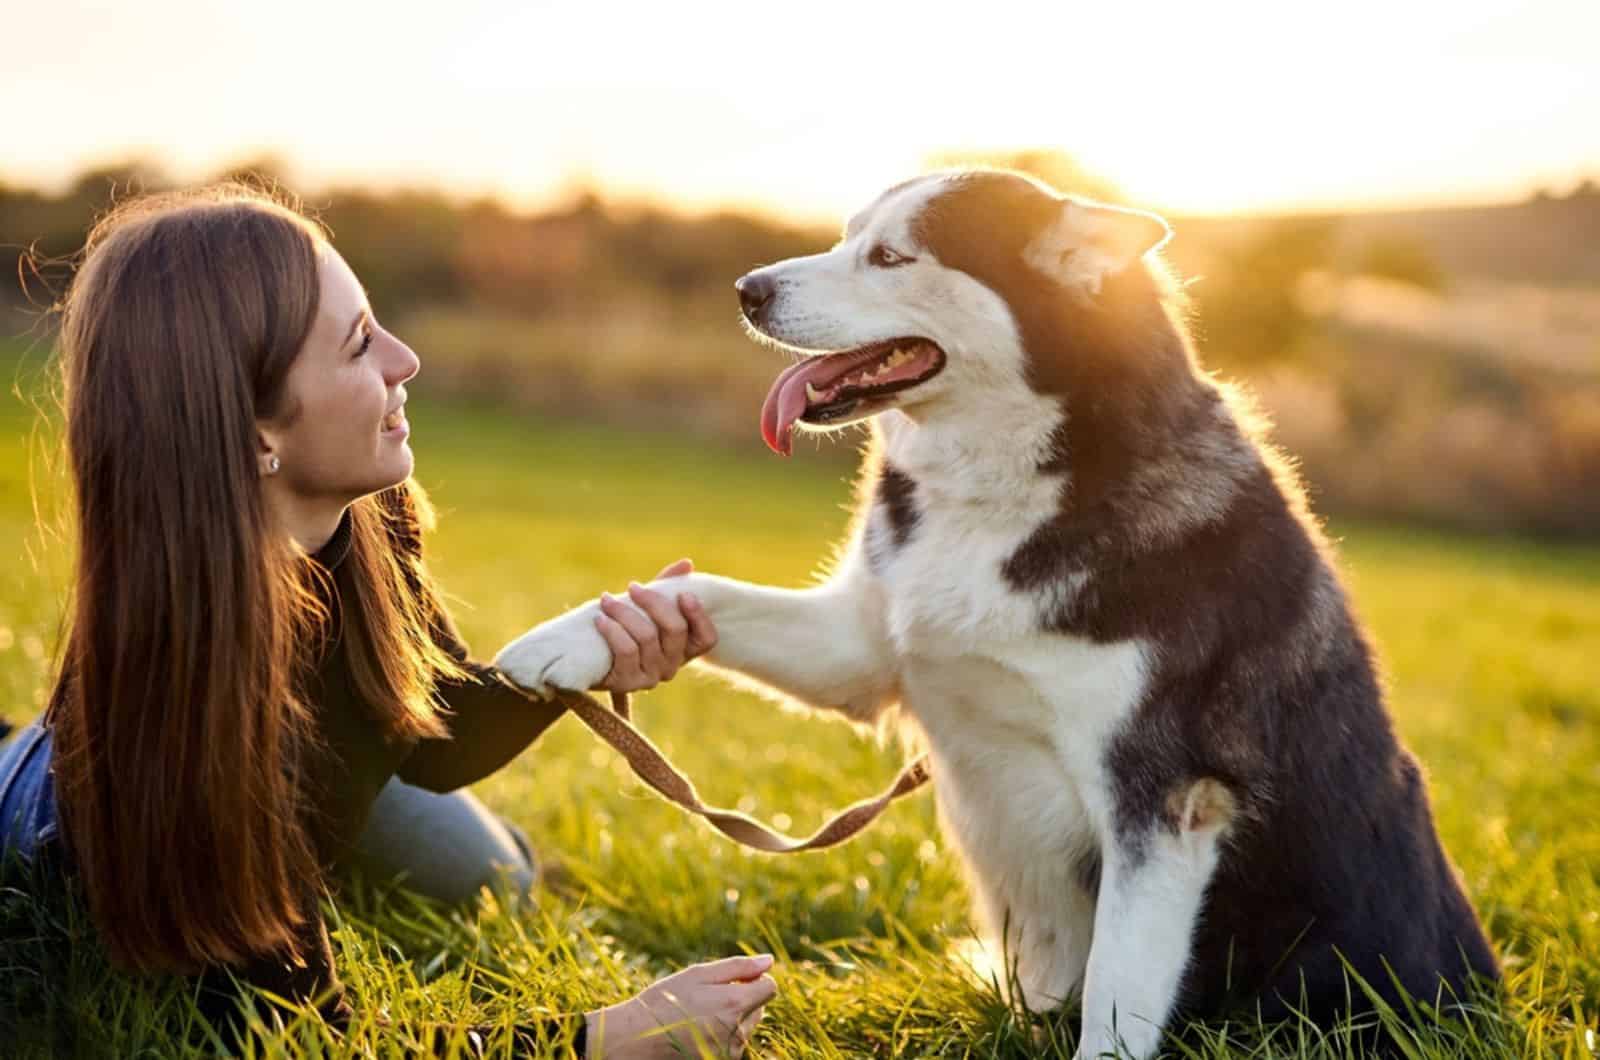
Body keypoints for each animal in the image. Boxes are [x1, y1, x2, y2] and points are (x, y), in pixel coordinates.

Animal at [499, 170, 1497, 1056]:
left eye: (891, 256)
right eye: (846, 234)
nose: (747, 289)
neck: (1001, 488)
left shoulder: (1163, 805)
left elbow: (1117, 1002)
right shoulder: (861, 645)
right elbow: (698, 590)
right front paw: (571, 640)